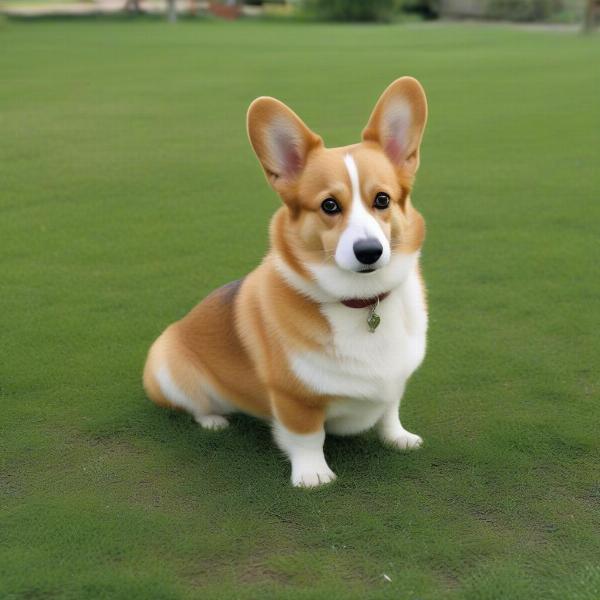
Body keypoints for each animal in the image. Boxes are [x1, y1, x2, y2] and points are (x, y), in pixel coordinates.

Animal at [144, 76, 428, 488]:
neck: (361, 302)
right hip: (166, 368)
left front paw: (399, 438)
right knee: (195, 405)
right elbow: (308, 437)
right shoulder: (294, 399)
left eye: (382, 199)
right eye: (329, 205)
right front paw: (314, 475)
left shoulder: (395, 381)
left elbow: (390, 411)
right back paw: (214, 420)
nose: (369, 251)